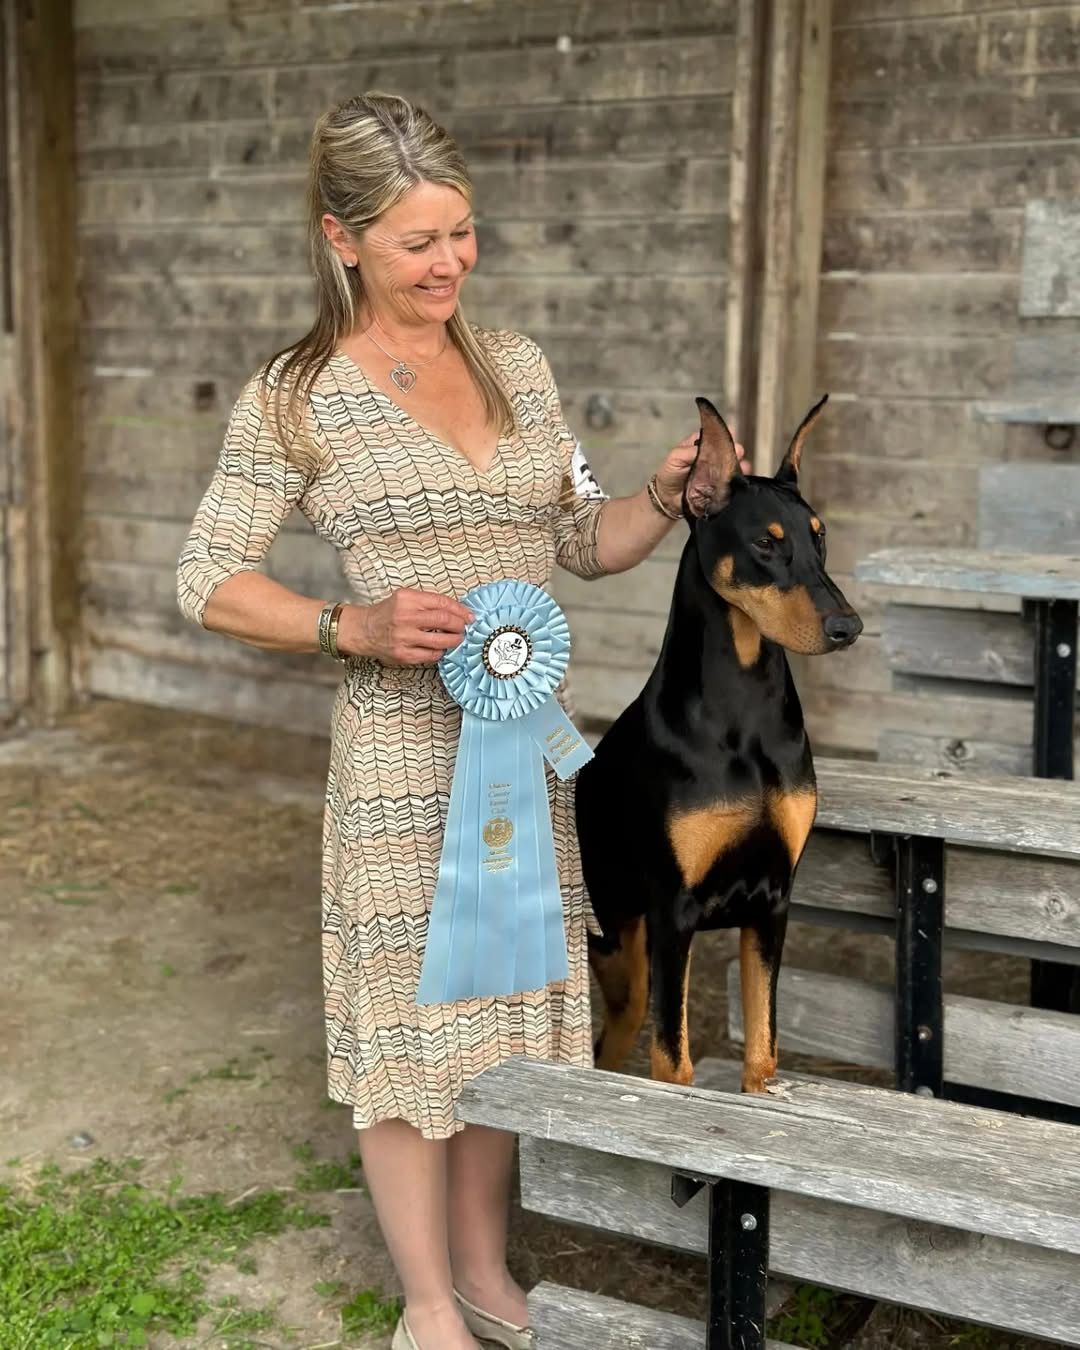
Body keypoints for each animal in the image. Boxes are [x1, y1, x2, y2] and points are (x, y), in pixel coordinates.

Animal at [575, 394, 862, 1093]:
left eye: (819, 537)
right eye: (765, 543)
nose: (849, 626)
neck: (744, 712)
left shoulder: (772, 905)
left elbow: (763, 1051)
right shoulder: (674, 913)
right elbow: (671, 1061)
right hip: (618, 944)